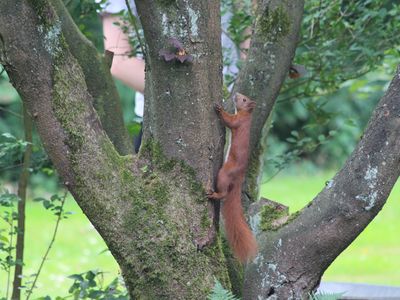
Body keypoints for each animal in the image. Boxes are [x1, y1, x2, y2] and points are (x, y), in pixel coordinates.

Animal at [208, 92, 258, 262]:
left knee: (223, 192)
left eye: (244, 99)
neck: (247, 116)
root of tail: (239, 178)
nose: (236, 94)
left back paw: (214, 194)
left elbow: (229, 120)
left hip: (223, 174)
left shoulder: (238, 122)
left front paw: (219, 108)